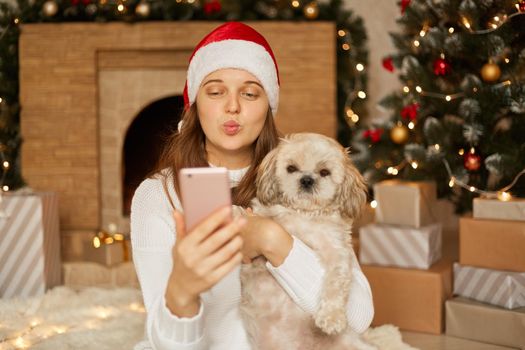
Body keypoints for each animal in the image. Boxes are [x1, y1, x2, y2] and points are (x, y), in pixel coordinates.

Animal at [239, 133, 370, 348]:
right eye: (291, 168)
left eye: (324, 172)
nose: (307, 180)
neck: (303, 215)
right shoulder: (261, 212)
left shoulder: (337, 251)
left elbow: (337, 282)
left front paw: (332, 318)